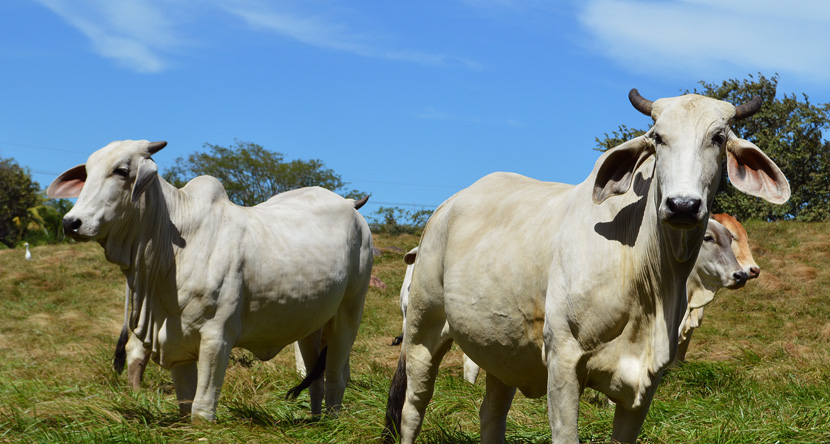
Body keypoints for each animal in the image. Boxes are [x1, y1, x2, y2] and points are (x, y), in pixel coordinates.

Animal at [44, 140, 370, 422]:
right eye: (87, 172)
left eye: (121, 171)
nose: (71, 222)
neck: (172, 245)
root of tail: (352, 208)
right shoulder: (176, 347)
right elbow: (185, 407)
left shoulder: (217, 338)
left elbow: (201, 409)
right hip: (311, 321)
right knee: (314, 375)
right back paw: (314, 420)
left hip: (349, 311)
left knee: (336, 375)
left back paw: (330, 422)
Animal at [384, 91, 792, 444]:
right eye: (658, 138)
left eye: (718, 137)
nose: (683, 205)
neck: (648, 280)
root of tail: (444, 208)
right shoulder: (563, 362)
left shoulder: (644, 383)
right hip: (422, 330)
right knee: (412, 411)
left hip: (500, 349)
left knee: (491, 415)